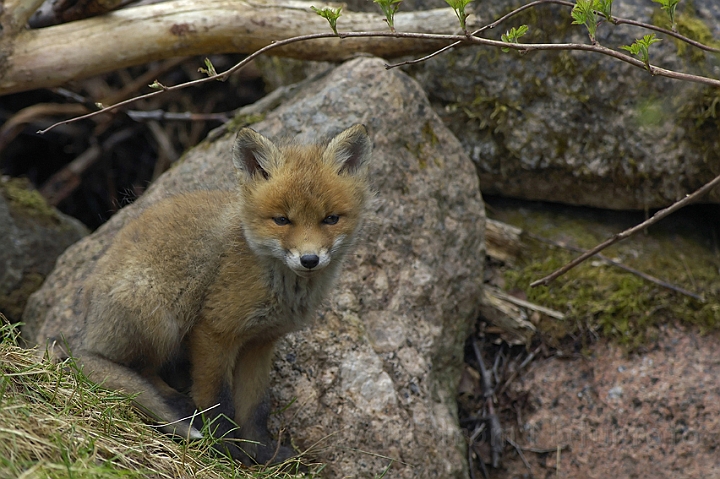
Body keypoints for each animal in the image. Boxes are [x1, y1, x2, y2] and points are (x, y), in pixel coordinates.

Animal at [70, 124, 374, 464]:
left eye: (330, 219)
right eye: (282, 220)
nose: (309, 260)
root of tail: (86, 328)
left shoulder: (260, 343)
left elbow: (255, 407)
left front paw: (262, 453)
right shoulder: (214, 332)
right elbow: (217, 400)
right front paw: (224, 449)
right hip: (160, 319)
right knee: (131, 369)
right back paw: (174, 406)